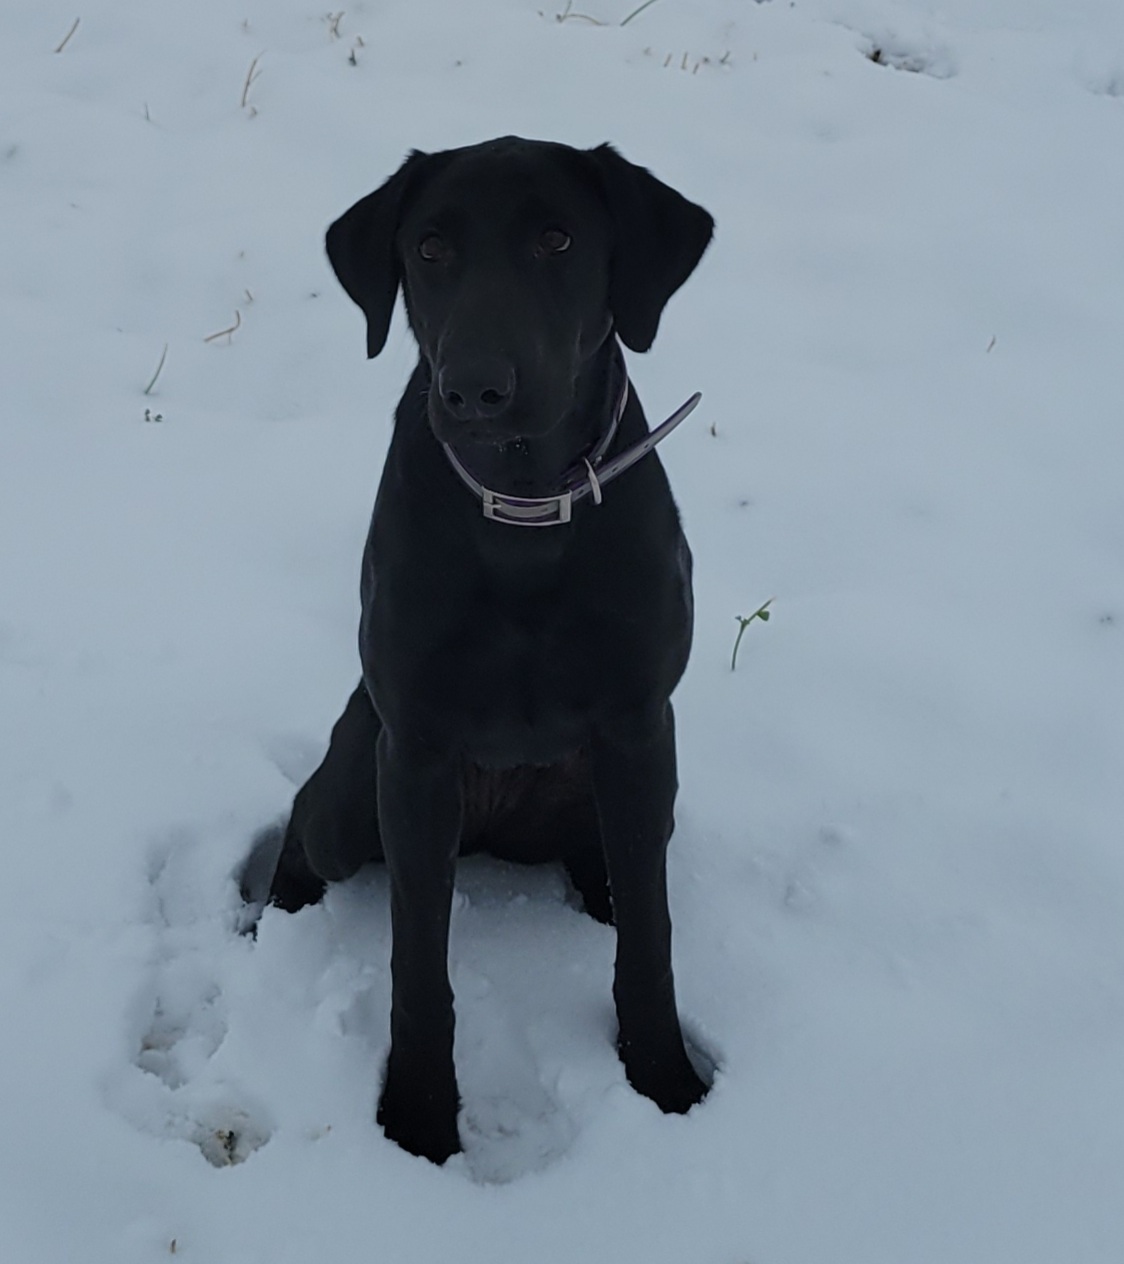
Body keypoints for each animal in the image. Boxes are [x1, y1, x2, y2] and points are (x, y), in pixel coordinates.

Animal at [252, 138, 708, 1162]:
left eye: (558, 238)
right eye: (428, 248)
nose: (474, 389)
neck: (525, 506)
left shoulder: (639, 730)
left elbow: (653, 939)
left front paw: (665, 1079)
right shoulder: (417, 753)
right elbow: (418, 968)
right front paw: (420, 1119)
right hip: (356, 784)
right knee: (303, 823)